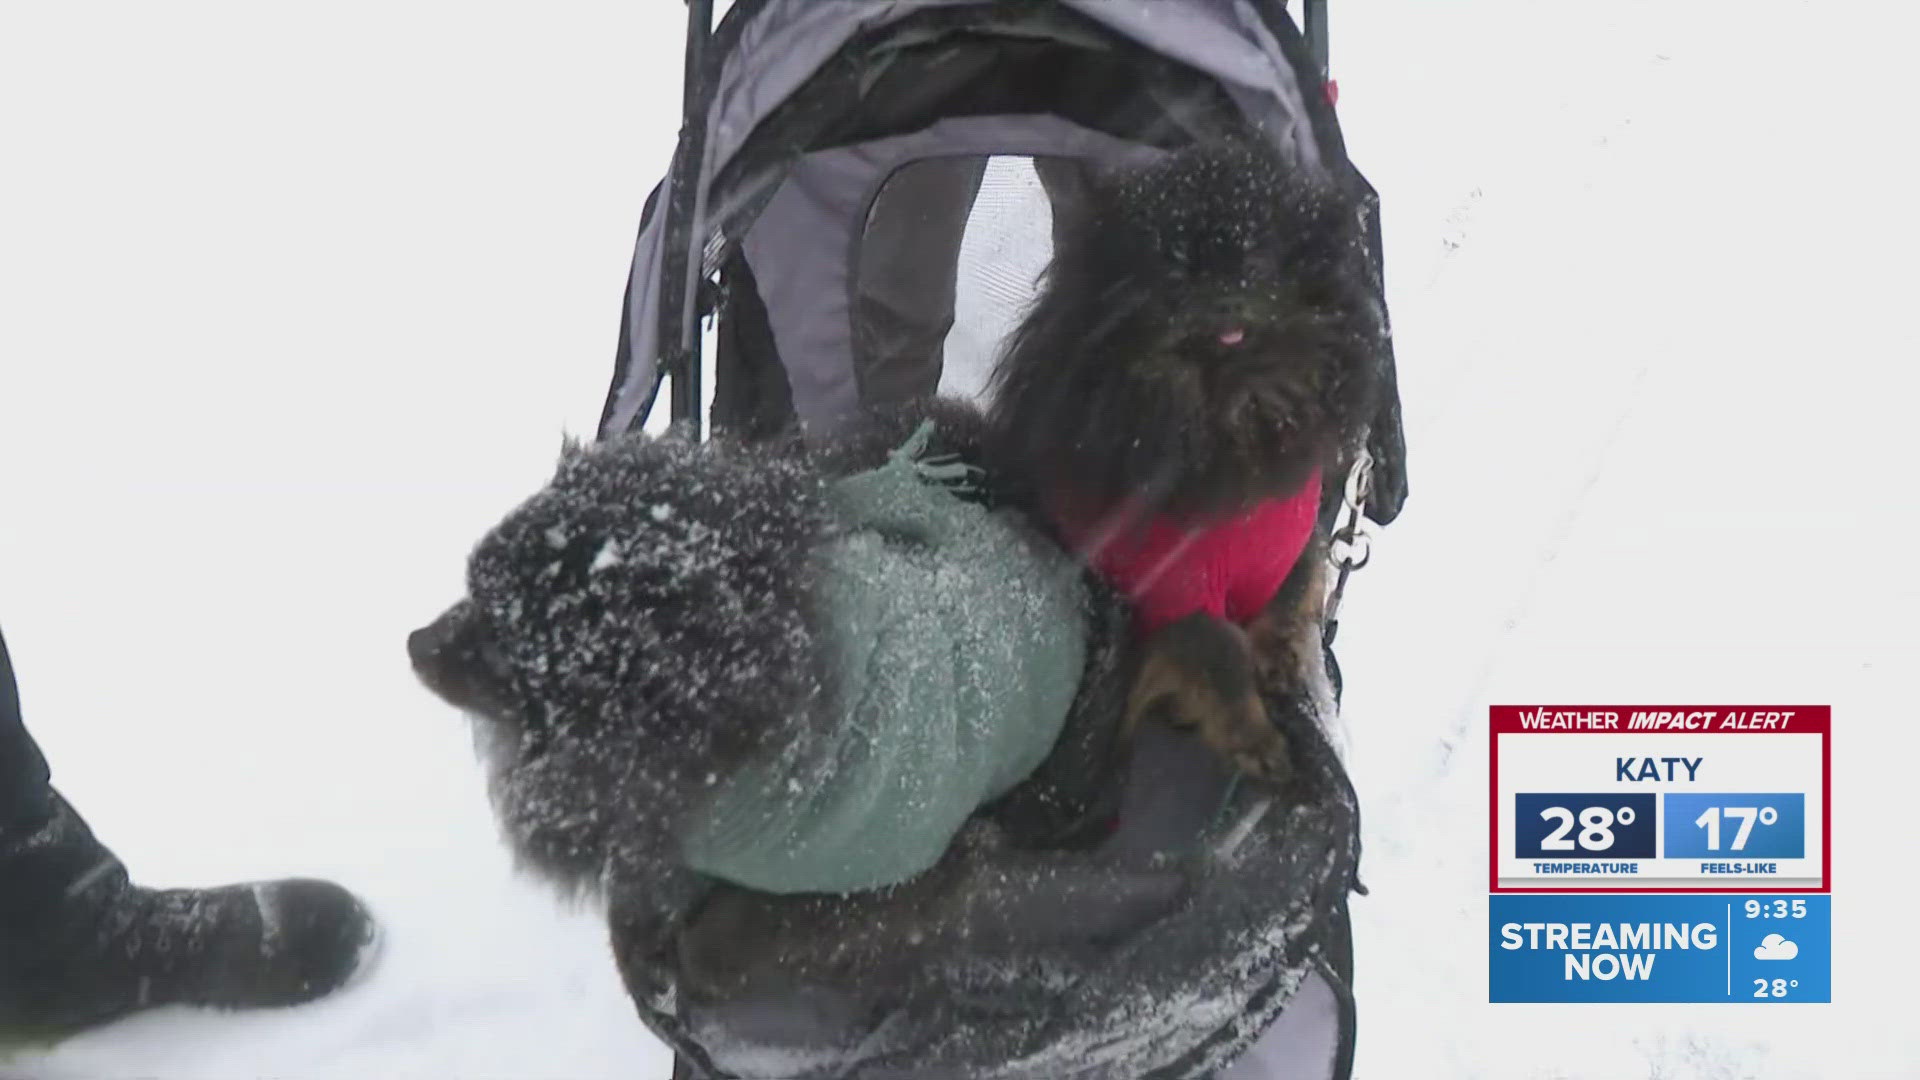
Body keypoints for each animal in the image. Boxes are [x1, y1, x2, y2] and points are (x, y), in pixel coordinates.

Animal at [990, 141, 1382, 780]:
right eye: (1177, 270)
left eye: (1257, 260)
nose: (1222, 290)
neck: (1236, 406)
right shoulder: (1176, 595)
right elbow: (1223, 659)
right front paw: (1257, 742)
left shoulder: (1290, 543)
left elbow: (1290, 599)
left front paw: (1283, 662)